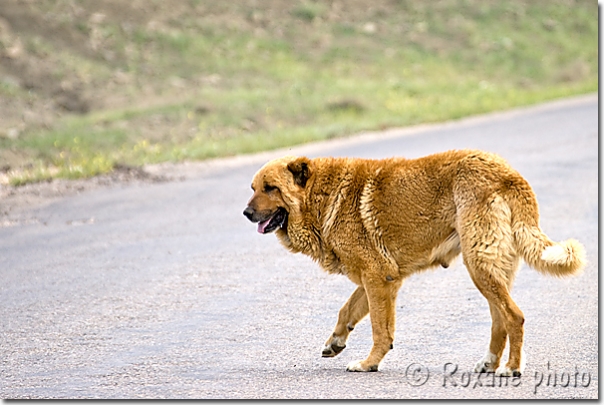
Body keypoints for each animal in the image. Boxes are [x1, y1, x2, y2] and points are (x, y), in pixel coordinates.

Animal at [242, 150, 584, 374]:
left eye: (271, 188)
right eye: (254, 189)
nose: (245, 213)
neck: (322, 195)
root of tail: (508, 174)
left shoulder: (378, 279)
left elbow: (380, 330)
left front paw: (369, 364)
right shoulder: (380, 278)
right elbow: (347, 310)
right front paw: (336, 342)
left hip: (479, 266)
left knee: (515, 317)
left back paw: (511, 368)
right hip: (489, 269)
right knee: (500, 319)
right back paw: (489, 362)